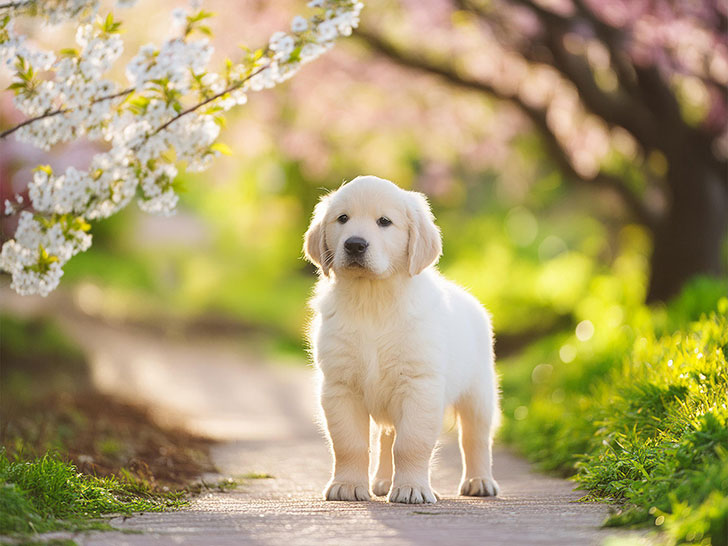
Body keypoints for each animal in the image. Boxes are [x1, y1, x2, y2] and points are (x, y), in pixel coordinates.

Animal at [302, 174, 500, 502]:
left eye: (385, 222)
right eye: (342, 218)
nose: (355, 244)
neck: (373, 299)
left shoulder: (419, 385)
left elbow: (411, 444)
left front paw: (411, 488)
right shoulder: (340, 386)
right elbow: (349, 443)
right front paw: (348, 485)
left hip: (479, 393)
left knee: (475, 438)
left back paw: (480, 481)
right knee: (386, 436)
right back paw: (383, 481)